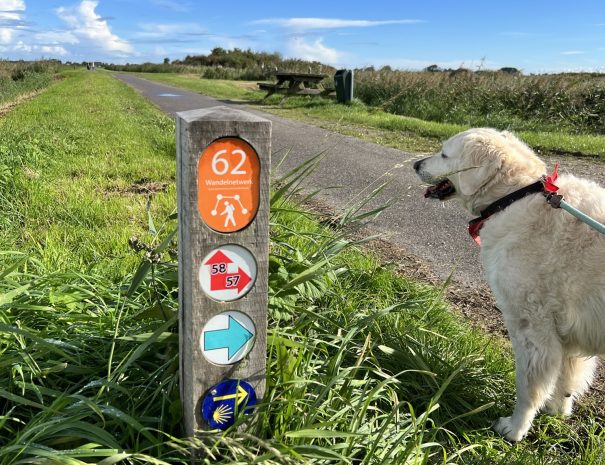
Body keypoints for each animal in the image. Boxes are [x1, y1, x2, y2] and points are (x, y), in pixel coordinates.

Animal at [412, 129, 604, 440]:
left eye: (444, 154)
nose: (416, 164)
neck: (514, 197)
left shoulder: (531, 327)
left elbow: (529, 387)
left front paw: (515, 428)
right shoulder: (569, 337)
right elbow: (567, 379)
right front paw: (558, 412)